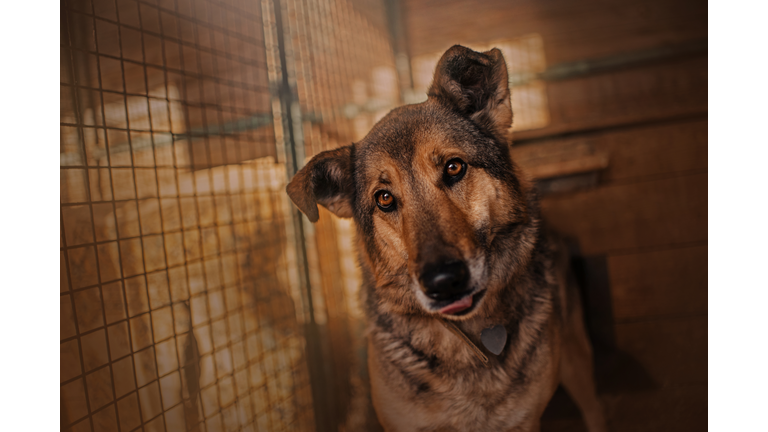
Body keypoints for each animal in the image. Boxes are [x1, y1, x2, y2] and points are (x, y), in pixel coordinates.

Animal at [284, 44, 608, 432]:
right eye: (384, 199)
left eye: (454, 167)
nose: (443, 282)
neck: (468, 339)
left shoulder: (525, 421)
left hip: (576, 360)